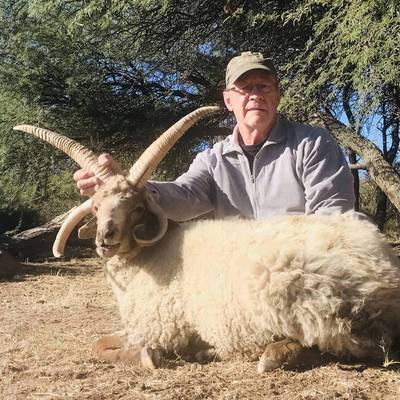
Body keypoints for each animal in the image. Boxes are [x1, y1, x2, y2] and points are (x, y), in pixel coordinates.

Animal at [14, 107, 400, 373]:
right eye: (96, 205)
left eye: (136, 208)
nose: (106, 238)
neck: (147, 261)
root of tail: (380, 271)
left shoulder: (157, 328)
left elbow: (107, 346)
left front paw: (151, 357)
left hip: (310, 304)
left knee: (347, 346)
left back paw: (261, 354)